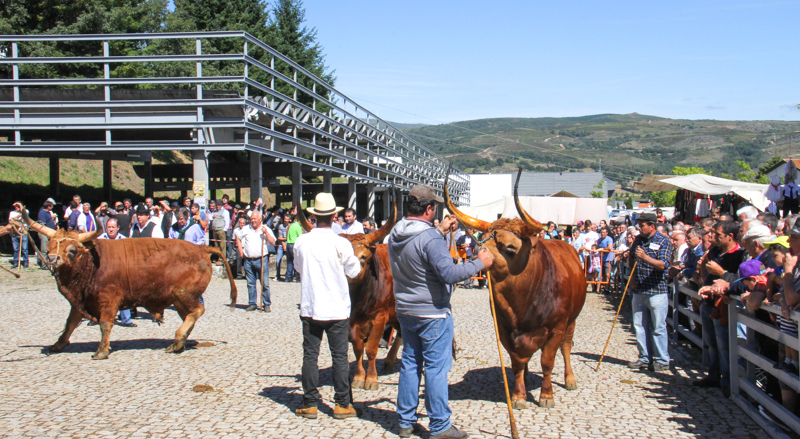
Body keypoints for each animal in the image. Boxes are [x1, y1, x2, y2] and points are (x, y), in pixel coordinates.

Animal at [20, 208, 236, 360]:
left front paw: (102, 350)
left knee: (197, 311)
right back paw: (179, 343)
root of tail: (201, 249)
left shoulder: (109, 298)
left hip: (184, 294)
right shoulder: (81, 300)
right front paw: (58, 345)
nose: (52, 259)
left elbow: (105, 324)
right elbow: (70, 323)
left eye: (72, 250)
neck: (93, 261)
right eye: (49, 246)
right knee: (189, 315)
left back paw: (178, 338)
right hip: (178, 298)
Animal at [444, 170, 588, 410]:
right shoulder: (504, 330)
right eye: (484, 240)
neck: (522, 305)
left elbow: (547, 361)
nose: (477, 255)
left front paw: (546, 396)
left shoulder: (556, 328)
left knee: (566, 347)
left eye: (510, 248)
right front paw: (519, 396)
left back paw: (570, 379)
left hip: (572, 320)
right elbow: (517, 363)